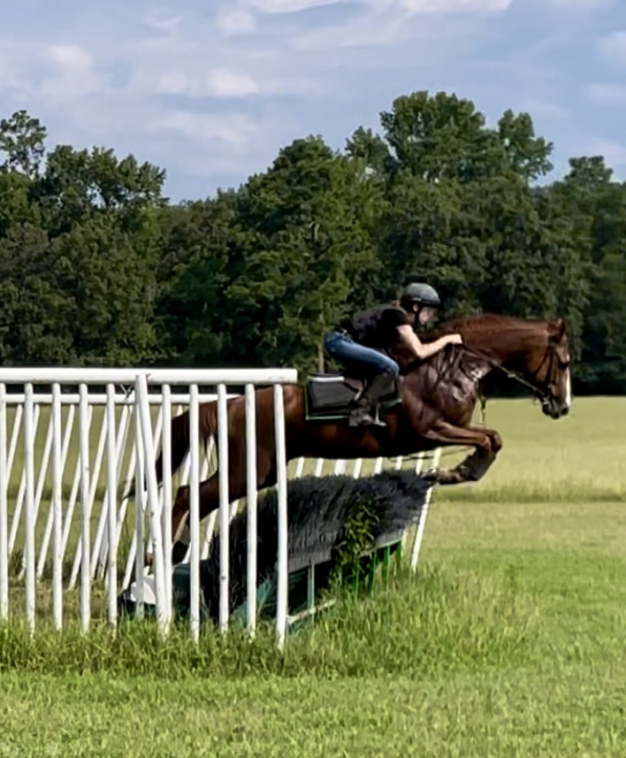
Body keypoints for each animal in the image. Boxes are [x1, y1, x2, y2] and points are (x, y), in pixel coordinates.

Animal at [149, 312, 572, 550]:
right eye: (565, 362)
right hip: (246, 468)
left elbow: (493, 439)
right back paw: (160, 553)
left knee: (198, 499)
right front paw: (460, 470)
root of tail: (233, 403)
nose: (562, 407)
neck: (451, 367)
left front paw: (453, 472)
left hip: (261, 471)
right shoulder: (430, 430)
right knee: (188, 495)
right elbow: (488, 439)